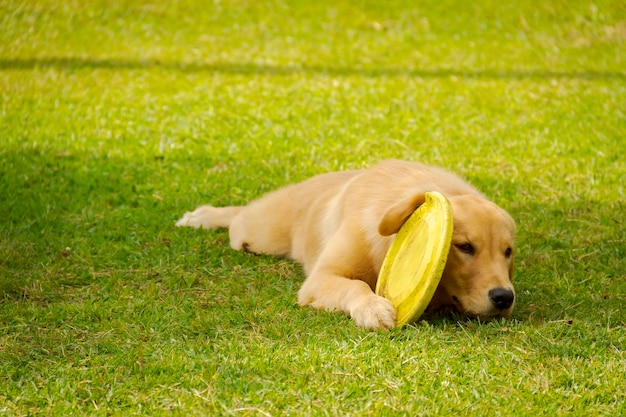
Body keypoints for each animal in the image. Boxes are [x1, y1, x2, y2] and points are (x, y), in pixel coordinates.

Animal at [177, 158, 516, 328]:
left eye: (508, 252)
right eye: (465, 247)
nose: (504, 297)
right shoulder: (321, 278)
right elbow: (355, 285)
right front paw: (372, 308)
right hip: (257, 232)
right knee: (238, 217)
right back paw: (202, 216)